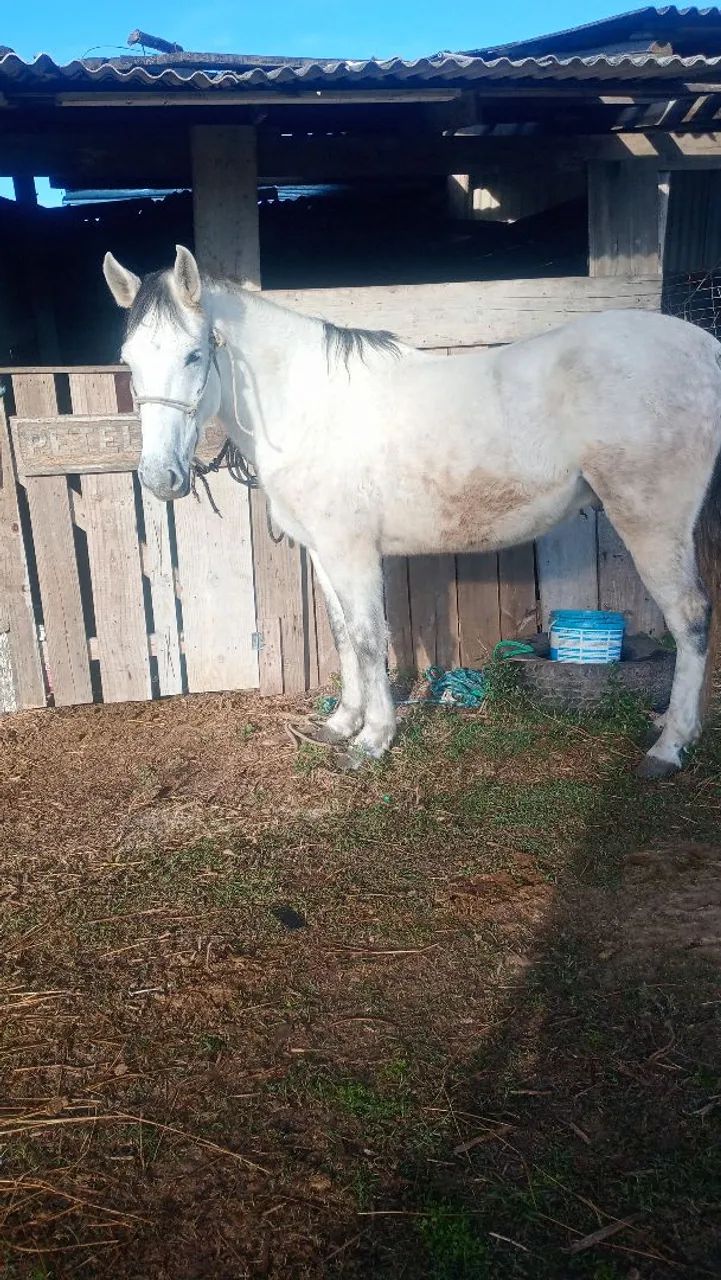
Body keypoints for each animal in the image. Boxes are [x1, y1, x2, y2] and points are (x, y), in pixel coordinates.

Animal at [103, 245, 721, 777]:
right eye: (128, 360)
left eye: (194, 353)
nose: (160, 478)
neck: (308, 405)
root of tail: (704, 349)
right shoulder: (325, 552)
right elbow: (342, 634)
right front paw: (341, 724)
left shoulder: (353, 552)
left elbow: (369, 637)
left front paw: (372, 741)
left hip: (652, 521)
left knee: (690, 617)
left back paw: (669, 749)